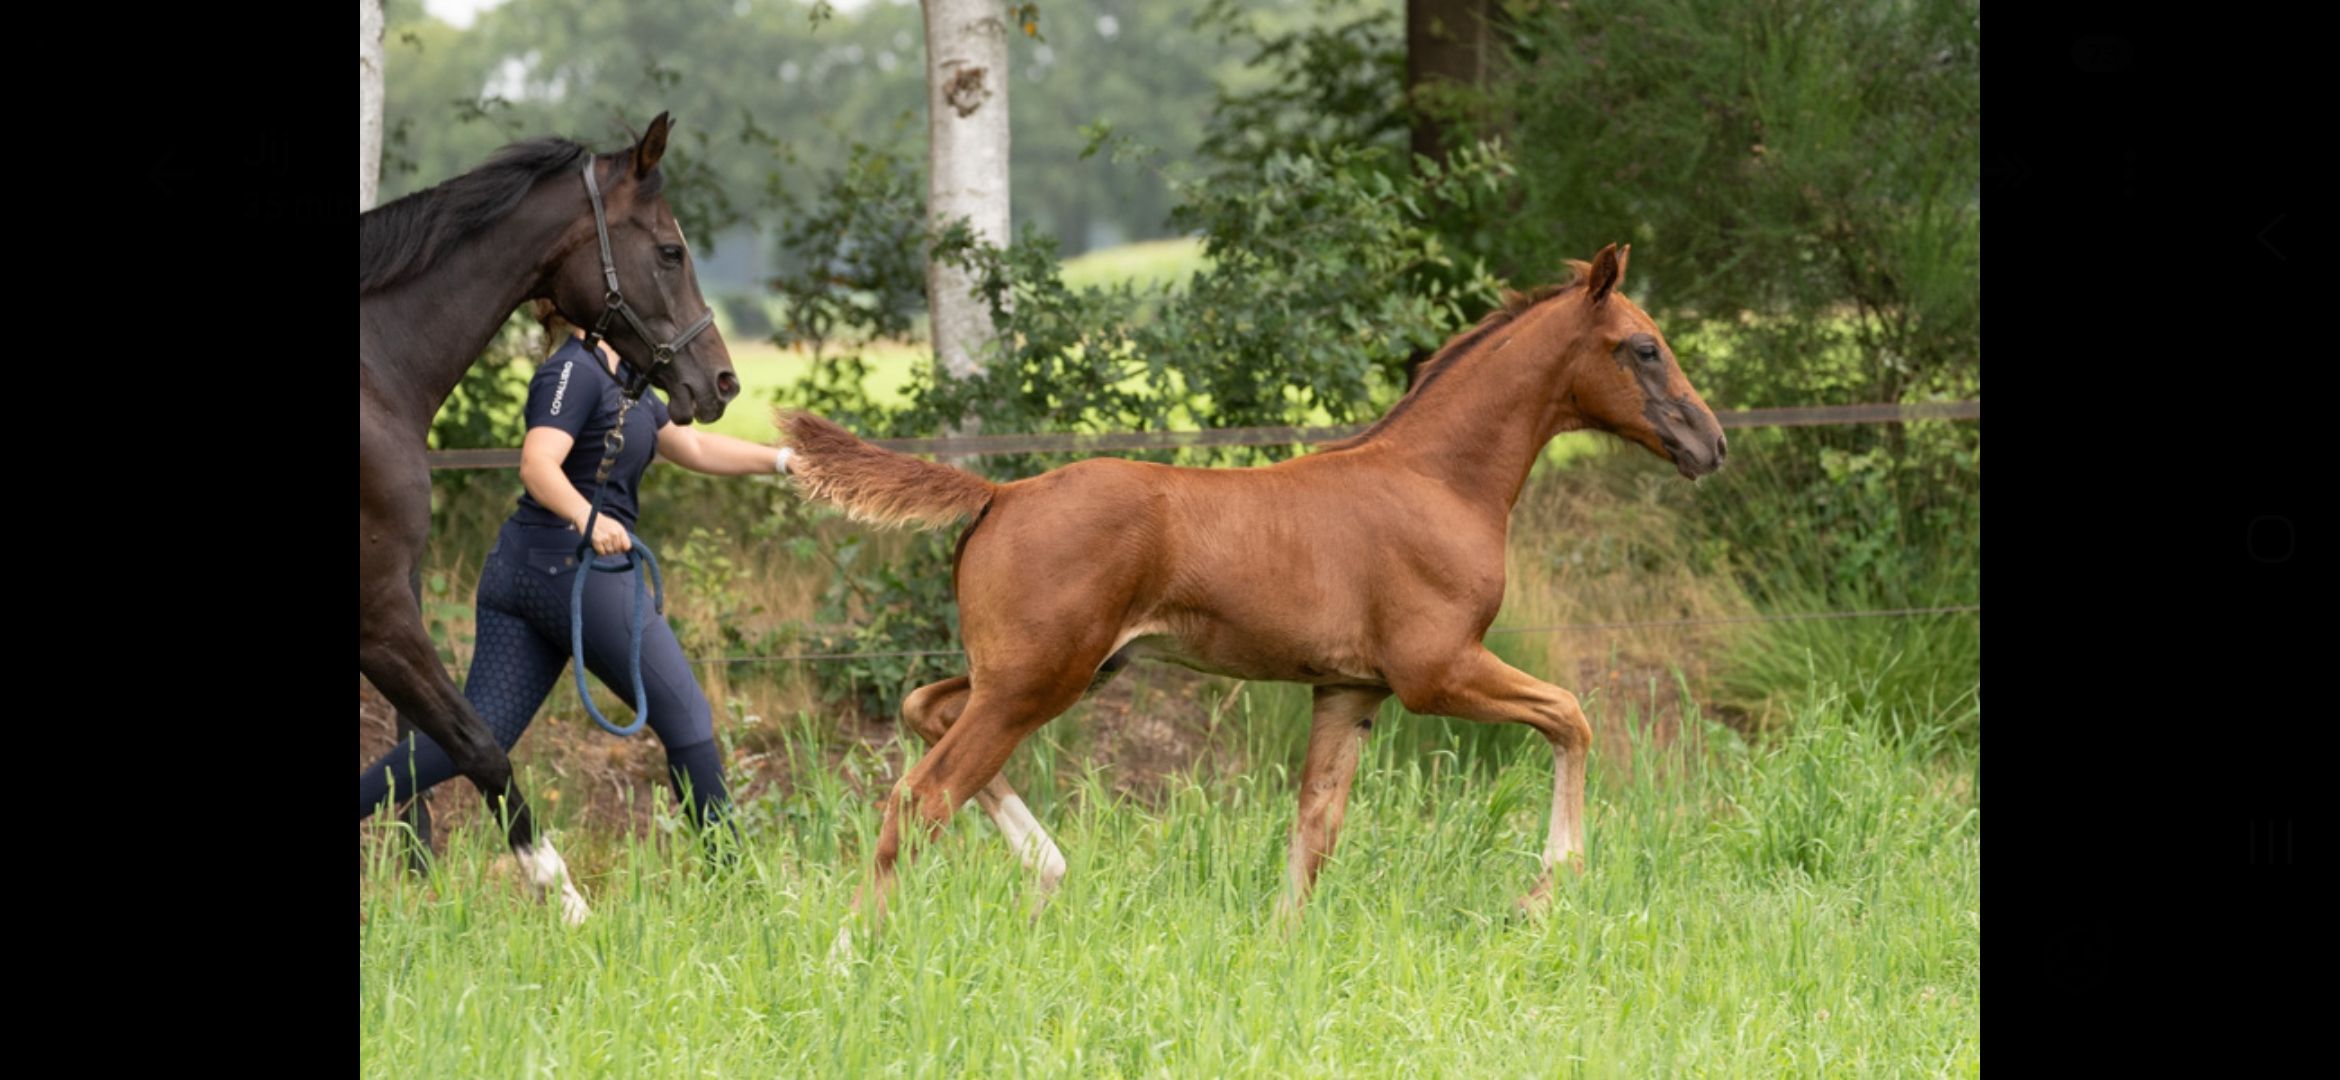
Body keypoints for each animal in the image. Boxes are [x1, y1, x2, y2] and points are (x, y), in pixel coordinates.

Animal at [360, 114, 737, 922]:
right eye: (670, 250)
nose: (722, 382)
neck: (375, 375)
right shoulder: (380, 611)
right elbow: (476, 743)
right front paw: (563, 896)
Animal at [780, 243, 1726, 929]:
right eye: (1645, 347)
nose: (1710, 443)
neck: (1437, 479)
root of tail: (999, 492)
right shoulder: (1437, 671)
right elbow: (1572, 714)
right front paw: (1546, 889)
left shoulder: (1350, 689)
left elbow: (1316, 829)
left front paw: (1282, 947)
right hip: (1034, 681)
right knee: (923, 793)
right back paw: (852, 951)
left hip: (1048, 671)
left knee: (923, 710)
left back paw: (1047, 871)